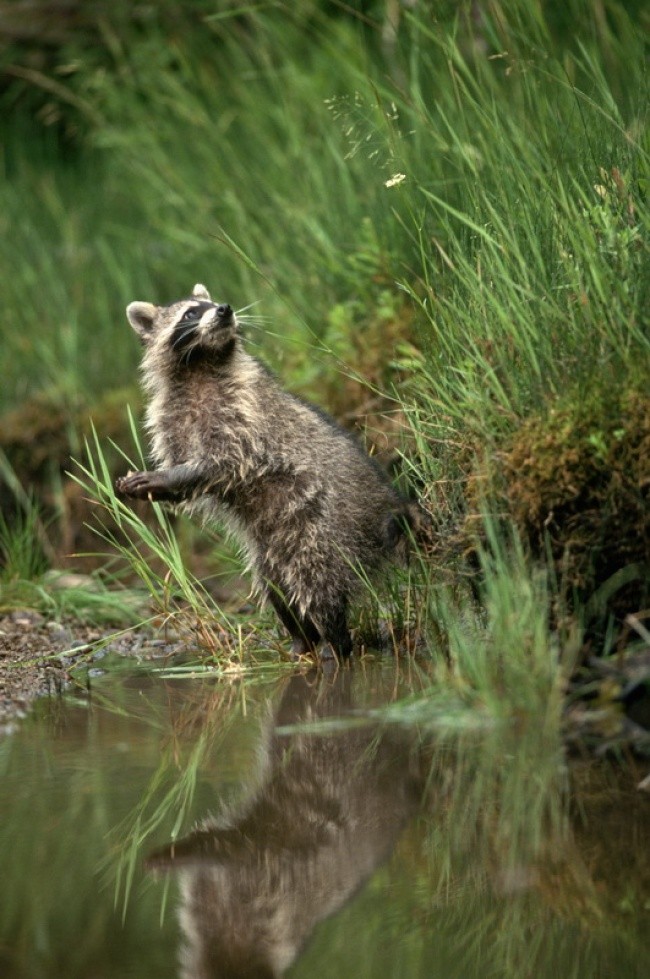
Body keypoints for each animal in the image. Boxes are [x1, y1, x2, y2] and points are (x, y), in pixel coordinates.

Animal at [117, 284, 416, 660]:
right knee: (277, 588)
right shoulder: (171, 417)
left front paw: (166, 478)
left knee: (318, 583)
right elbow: (188, 477)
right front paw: (162, 485)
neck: (200, 364)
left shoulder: (245, 410)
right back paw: (302, 640)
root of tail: (387, 503)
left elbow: (224, 462)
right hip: (274, 548)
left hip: (327, 528)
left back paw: (335, 643)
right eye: (191, 313)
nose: (225, 310)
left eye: (210, 303)